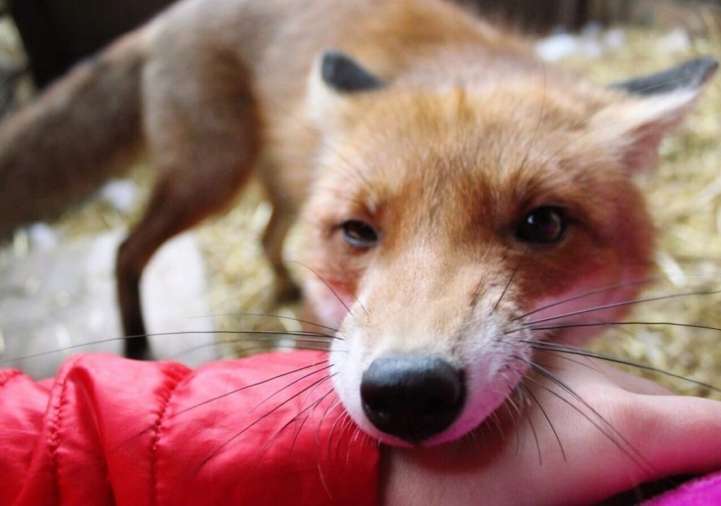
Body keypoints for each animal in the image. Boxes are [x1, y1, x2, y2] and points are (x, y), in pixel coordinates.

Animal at [0, 0, 716, 444]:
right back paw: (137, 345)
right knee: (126, 249)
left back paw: (276, 285)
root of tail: (168, 17)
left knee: (265, 235)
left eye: (542, 224)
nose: (407, 391)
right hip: (211, 176)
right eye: (359, 232)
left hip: (277, 182)